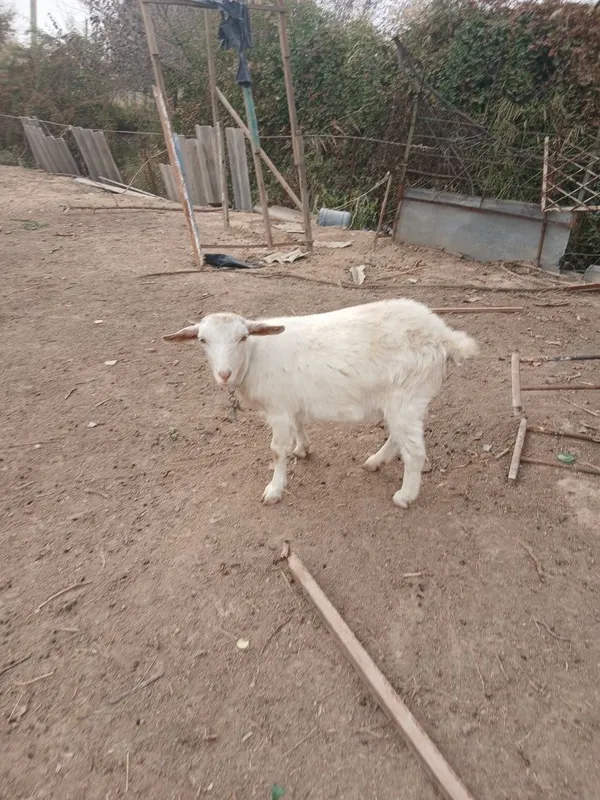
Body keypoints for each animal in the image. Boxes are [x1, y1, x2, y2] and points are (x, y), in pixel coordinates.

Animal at [164, 299, 478, 508]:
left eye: (242, 337)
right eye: (202, 340)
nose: (224, 374)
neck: (254, 356)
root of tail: (445, 336)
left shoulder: (278, 409)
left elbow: (276, 451)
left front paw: (274, 489)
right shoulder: (292, 403)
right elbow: (300, 425)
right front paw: (303, 449)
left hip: (407, 397)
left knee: (414, 452)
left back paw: (405, 496)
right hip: (403, 401)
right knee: (397, 439)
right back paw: (375, 462)